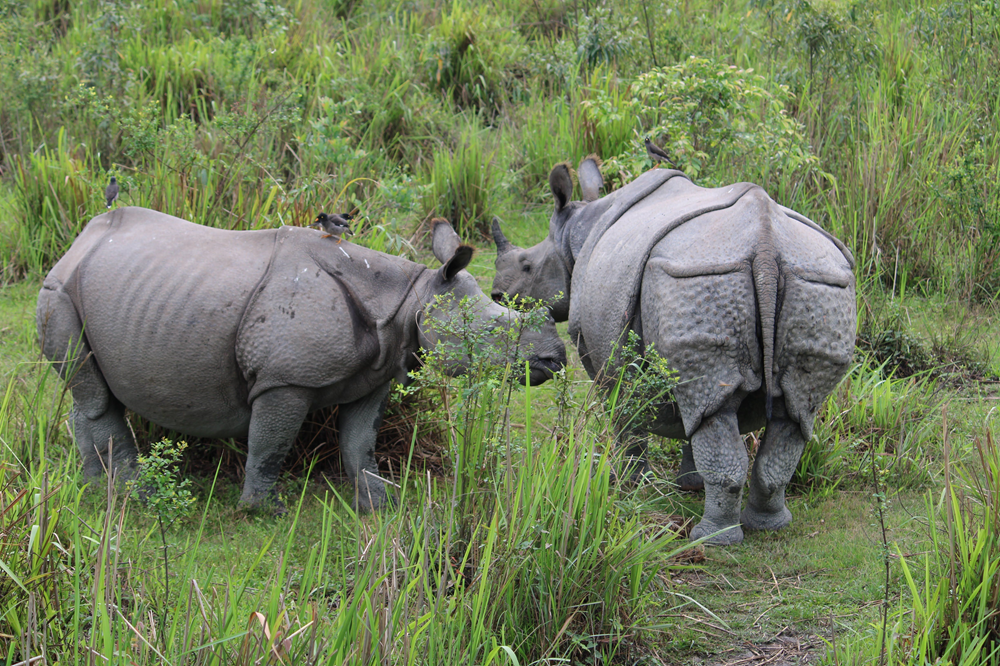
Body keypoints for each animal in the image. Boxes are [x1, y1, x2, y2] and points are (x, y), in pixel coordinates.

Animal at [37, 208, 566, 510]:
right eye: (493, 331)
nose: (555, 359)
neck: (411, 297)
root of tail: (77, 242)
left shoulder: (377, 374)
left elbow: (359, 443)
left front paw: (382, 504)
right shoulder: (284, 379)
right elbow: (270, 443)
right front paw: (264, 510)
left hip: (95, 289)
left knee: (88, 394)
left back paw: (93, 491)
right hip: (58, 290)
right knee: (96, 397)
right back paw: (136, 498)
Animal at [491, 159, 856, 545]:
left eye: (527, 265)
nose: (497, 294)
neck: (573, 234)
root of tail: (767, 246)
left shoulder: (601, 354)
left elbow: (625, 415)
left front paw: (630, 485)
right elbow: (691, 418)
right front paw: (689, 484)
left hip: (700, 277)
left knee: (719, 409)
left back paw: (709, 539)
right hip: (814, 282)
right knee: (788, 412)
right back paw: (769, 525)